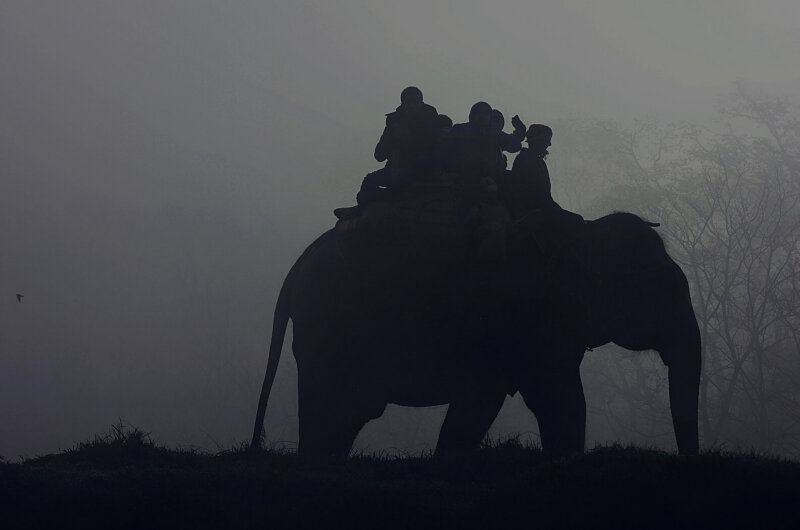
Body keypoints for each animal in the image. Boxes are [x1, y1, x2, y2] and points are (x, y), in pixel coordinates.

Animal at [249, 205, 701, 458]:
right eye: (663, 287)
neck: (587, 234)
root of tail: (295, 271)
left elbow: (544, 400)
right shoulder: (523, 321)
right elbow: (542, 398)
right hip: (332, 329)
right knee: (334, 408)